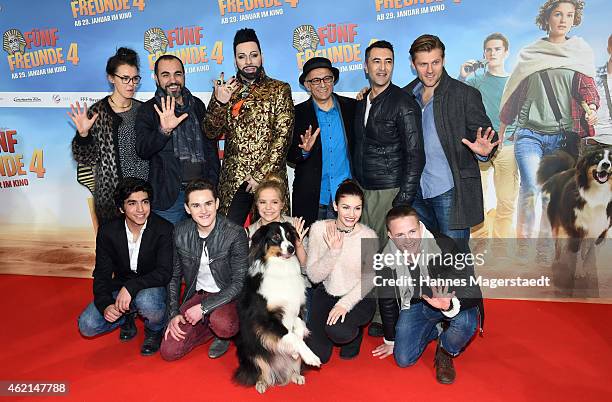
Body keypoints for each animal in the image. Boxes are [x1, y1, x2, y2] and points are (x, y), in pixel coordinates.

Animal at [233, 221, 320, 394]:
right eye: (275, 237)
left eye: (289, 235)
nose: (291, 248)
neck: (282, 268)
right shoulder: (265, 319)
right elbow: (290, 335)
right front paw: (311, 356)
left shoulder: (297, 310)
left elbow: (298, 329)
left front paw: (296, 353)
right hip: (250, 350)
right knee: (261, 369)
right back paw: (261, 383)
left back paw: (296, 375)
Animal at [536, 148, 608, 280]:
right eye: (597, 158)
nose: (606, 165)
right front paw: (578, 271)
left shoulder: (599, 230)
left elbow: (590, 251)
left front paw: (586, 268)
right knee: (558, 244)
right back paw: (558, 261)